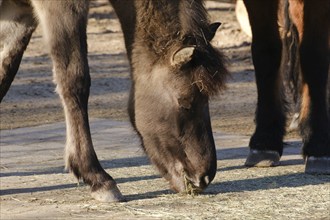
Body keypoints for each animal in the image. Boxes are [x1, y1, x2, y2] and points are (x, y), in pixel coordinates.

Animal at [0, 0, 227, 202]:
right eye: (185, 100)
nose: (203, 177)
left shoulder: (20, 13)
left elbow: (4, 73)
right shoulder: (62, 8)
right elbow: (74, 80)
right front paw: (97, 177)